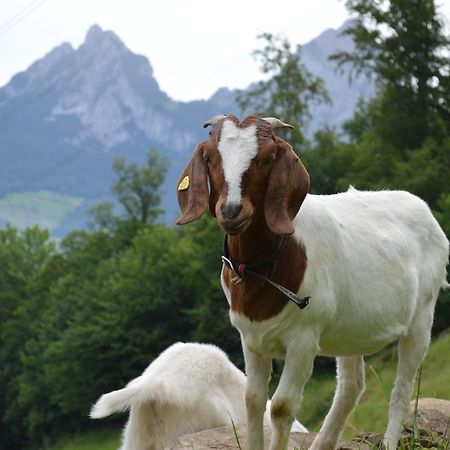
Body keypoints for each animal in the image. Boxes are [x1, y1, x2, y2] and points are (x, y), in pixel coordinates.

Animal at [177, 116, 450, 450]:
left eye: (267, 158)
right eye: (211, 158)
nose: (231, 210)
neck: (263, 268)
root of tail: (424, 211)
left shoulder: (304, 339)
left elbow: (281, 407)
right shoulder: (250, 337)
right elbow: (253, 400)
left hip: (422, 315)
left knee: (402, 387)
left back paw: (387, 441)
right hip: (351, 329)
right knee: (351, 385)